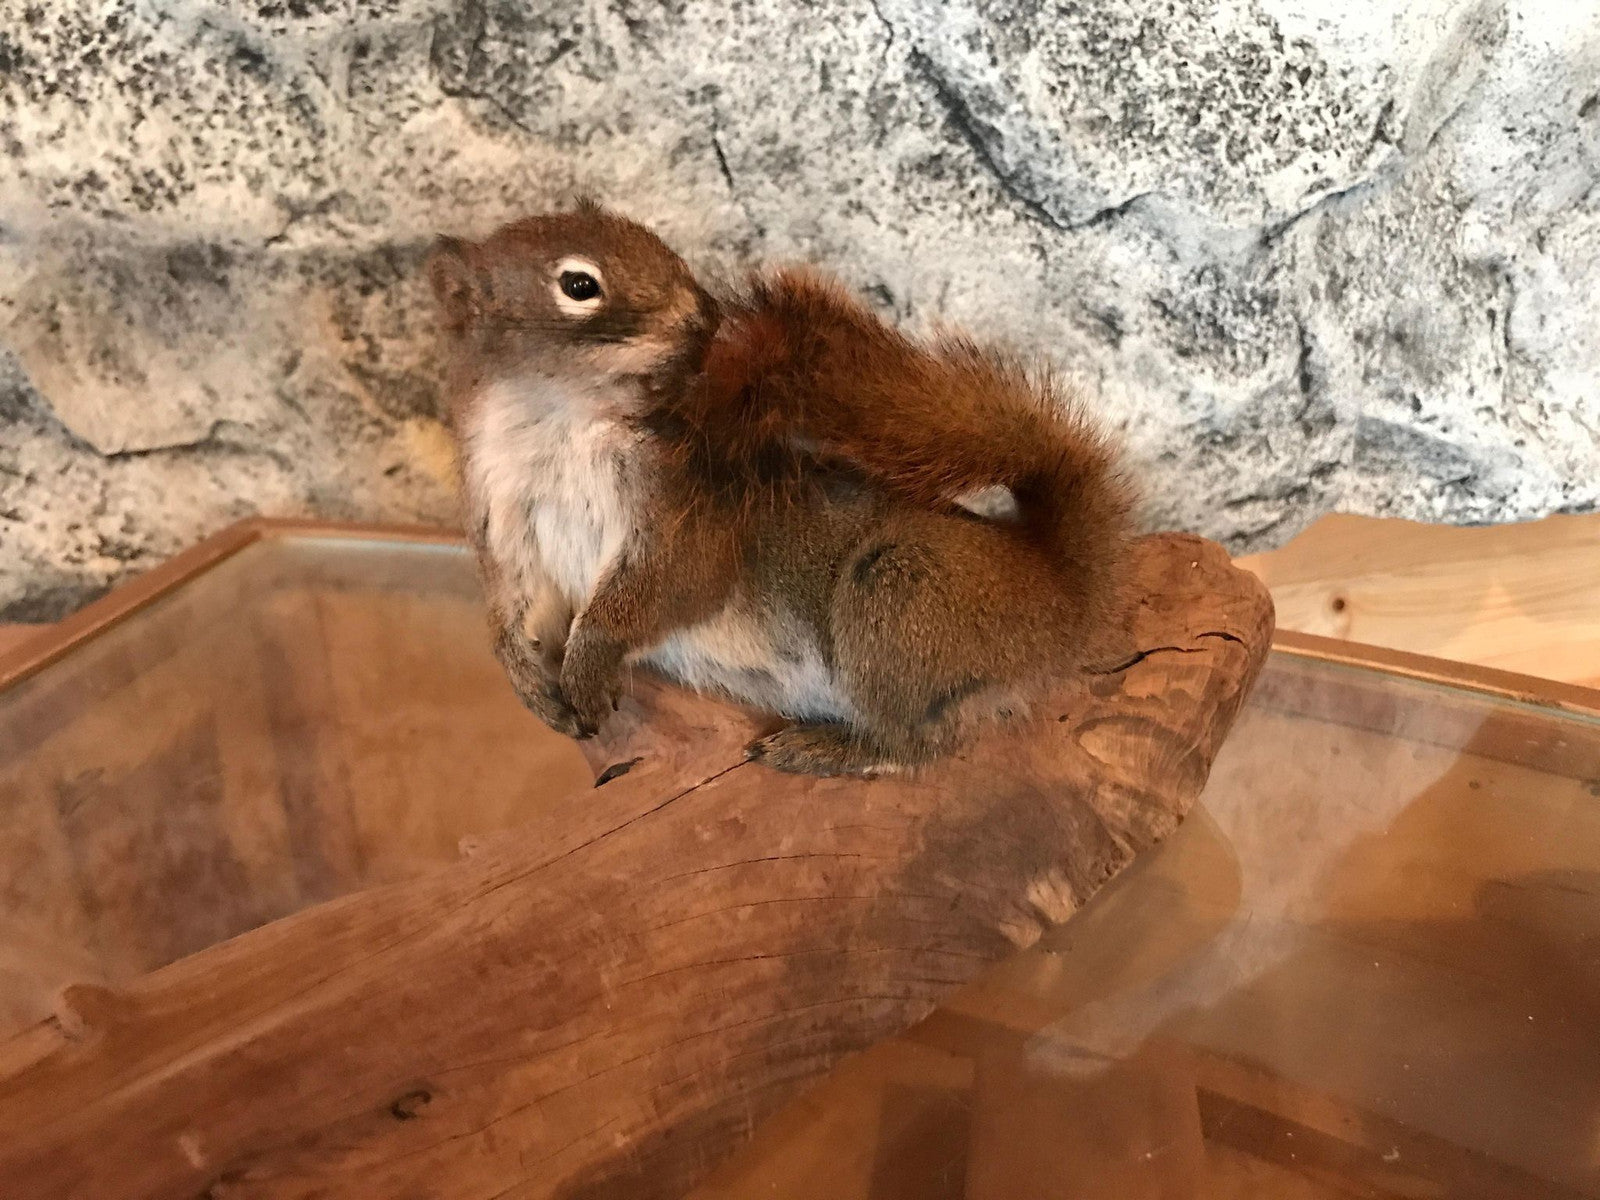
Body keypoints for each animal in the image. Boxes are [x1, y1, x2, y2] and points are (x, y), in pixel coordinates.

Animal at [427, 201, 1135, 777]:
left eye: (659, 242)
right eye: (579, 285)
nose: (707, 314)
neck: (555, 421)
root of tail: (1061, 590)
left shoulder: (689, 516)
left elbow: (670, 586)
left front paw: (589, 661)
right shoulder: (509, 530)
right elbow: (515, 615)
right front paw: (528, 682)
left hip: (902, 592)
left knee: (915, 747)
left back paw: (825, 750)